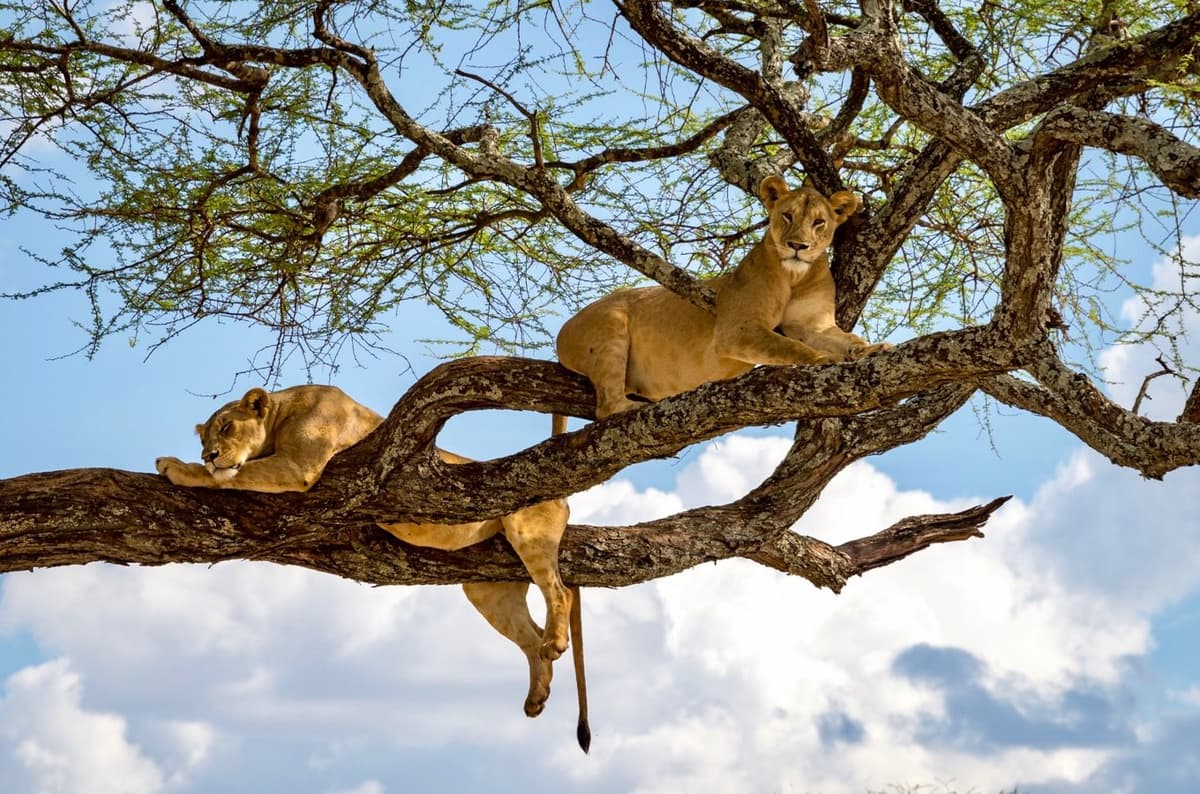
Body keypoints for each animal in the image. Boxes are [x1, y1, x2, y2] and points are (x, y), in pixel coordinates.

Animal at [155, 385, 591, 751]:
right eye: (203, 438)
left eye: (227, 426)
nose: (208, 455)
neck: (282, 413)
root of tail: (564, 496)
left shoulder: (298, 466)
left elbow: (233, 476)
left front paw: (178, 467)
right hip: (488, 589)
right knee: (530, 637)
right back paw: (536, 696)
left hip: (527, 533)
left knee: (559, 592)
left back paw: (555, 643)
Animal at [556, 175, 890, 418]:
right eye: (787, 216)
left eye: (819, 222)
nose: (798, 246)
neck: (795, 276)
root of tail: (562, 331)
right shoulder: (736, 329)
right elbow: (789, 345)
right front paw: (823, 359)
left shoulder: (814, 325)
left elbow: (846, 339)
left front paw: (873, 348)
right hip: (610, 327)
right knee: (606, 407)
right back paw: (632, 407)